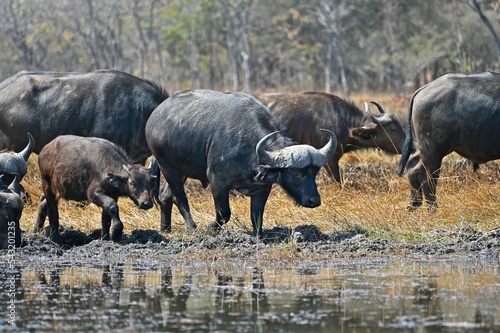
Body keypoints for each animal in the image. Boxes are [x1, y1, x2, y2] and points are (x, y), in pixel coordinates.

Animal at [146, 88, 338, 236]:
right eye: (296, 173)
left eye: (315, 172)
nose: (314, 200)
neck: (252, 150)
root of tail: (154, 117)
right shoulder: (217, 181)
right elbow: (224, 213)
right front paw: (209, 227)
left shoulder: (262, 188)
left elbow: (257, 215)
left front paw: (259, 235)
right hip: (167, 166)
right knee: (179, 197)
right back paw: (192, 228)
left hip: (181, 170)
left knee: (164, 195)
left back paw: (165, 229)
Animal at [400, 71, 500, 209]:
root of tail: (424, 88)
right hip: (433, 150)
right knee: (427, 178)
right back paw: (432, 209)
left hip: (430, 148)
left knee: (413, 165)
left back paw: (415, 203)